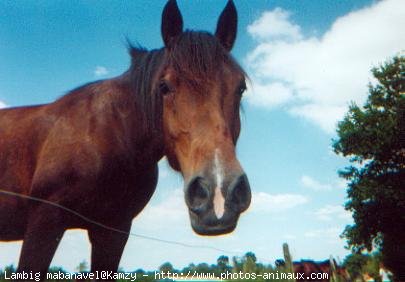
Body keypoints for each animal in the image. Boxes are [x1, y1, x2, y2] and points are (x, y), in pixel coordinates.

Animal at [0, 0, 251, 278]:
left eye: (240, 88)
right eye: (164, 87)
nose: (218, 195)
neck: (110, 135)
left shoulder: (113, 231)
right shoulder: (44, 222)